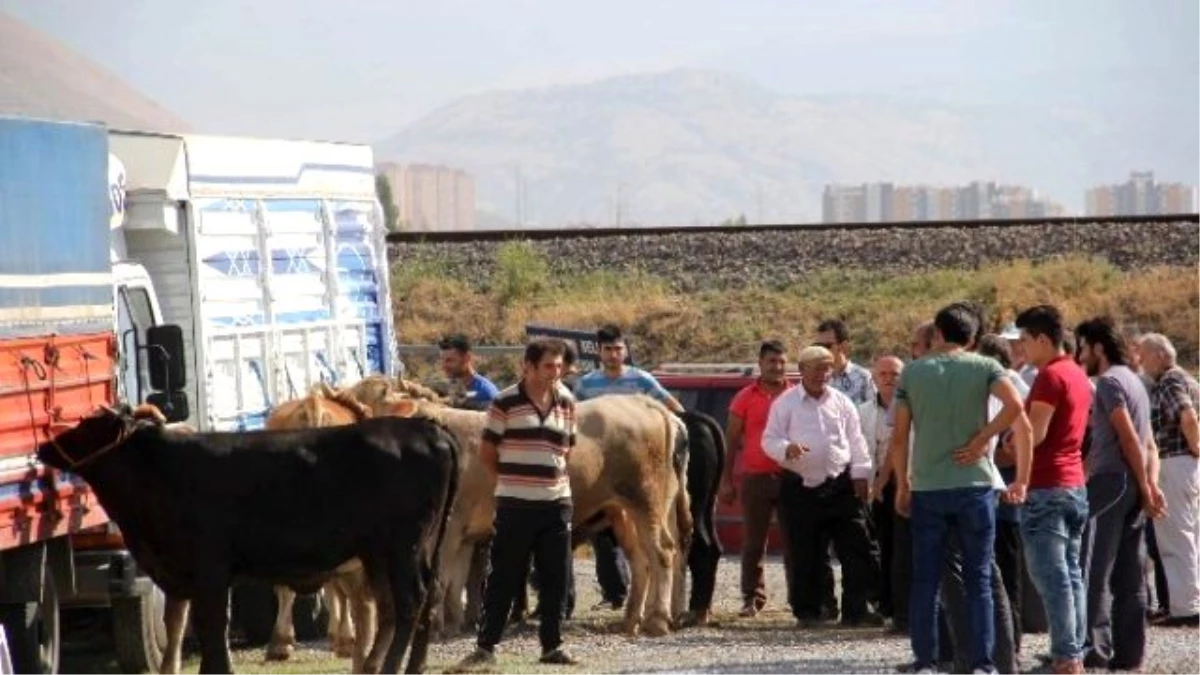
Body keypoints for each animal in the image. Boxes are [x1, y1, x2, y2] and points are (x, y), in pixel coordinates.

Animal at [37, 403, 458, 672]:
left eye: (88, 428)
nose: (43, 445)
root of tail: (426, 427)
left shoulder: (209, 570)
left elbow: (212, 626)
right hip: (386, 552)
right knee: (407, 603)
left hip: (402, 546)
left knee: (409, 602)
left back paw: (389, 666)